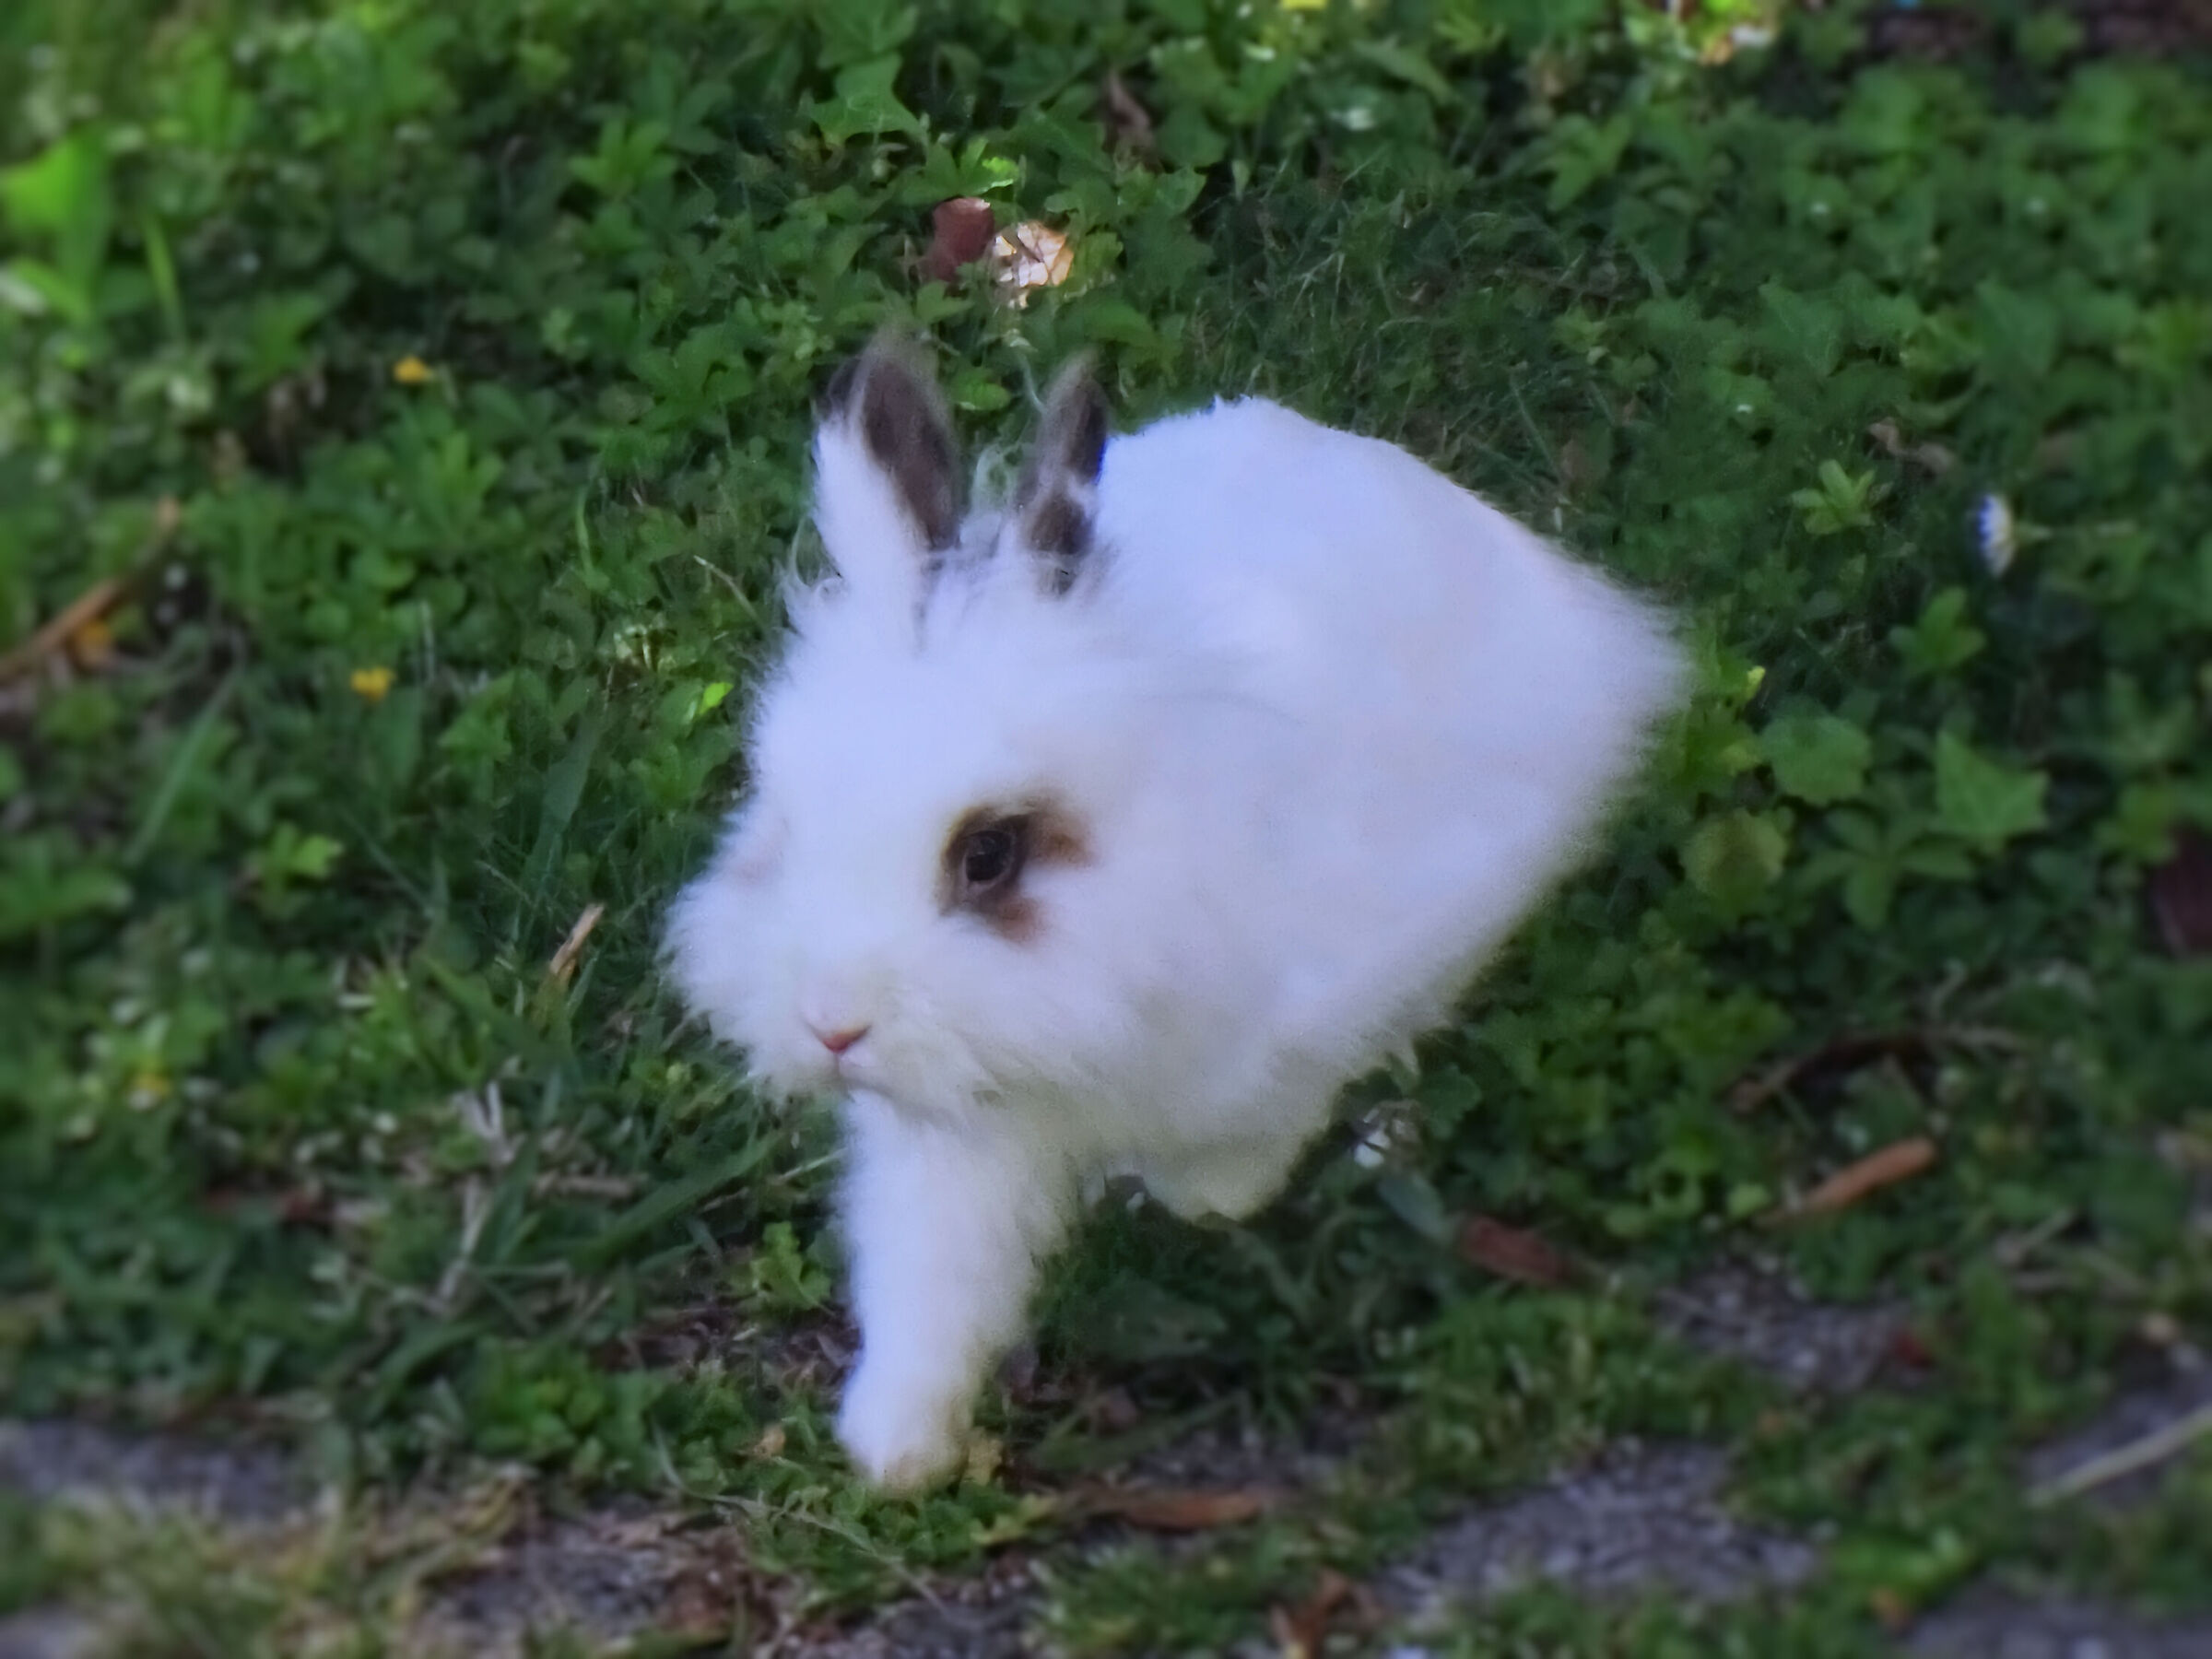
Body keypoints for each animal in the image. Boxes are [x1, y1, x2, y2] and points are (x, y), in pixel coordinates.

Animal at [665, 338, 1685, 1492]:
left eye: (988, 855)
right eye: (785, 820)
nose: (833, 1024)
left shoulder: (1295, 1039)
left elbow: (1240, 1160)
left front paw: (1193, 1206)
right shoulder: (957, 1148)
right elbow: (933, 1285)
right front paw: (897, 1448)